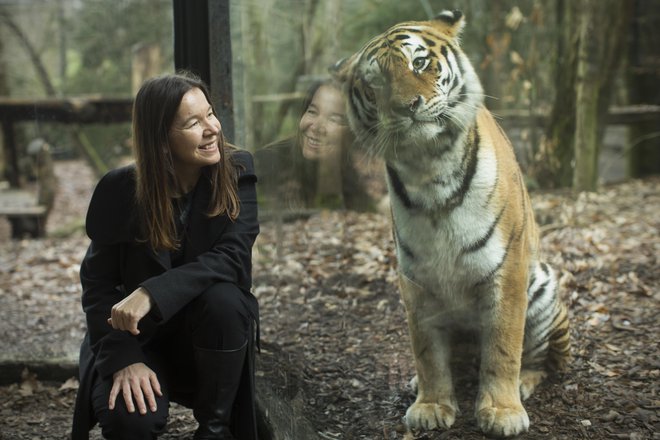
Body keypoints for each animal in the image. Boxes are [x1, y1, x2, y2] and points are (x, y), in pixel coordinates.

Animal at [332, 9, 568, 436]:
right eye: (375, 86)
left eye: (419, 62)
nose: (407, 106)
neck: (429, 169)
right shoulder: (415, 277)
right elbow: (426, 349)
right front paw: (431, 405)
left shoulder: (508, 269)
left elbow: (504, 345)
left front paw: (503, 412)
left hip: (542, 283)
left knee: (542, 361)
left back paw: (523, 384)